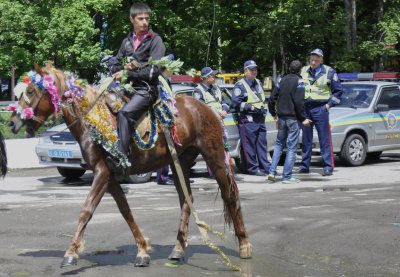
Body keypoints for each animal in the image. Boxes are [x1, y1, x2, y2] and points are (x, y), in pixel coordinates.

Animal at [7, 63, 252, 268]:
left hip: (214, 157)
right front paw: (142, 250)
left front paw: (71, 253)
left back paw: (244, 244)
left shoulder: (102, 173)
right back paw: (178, 249)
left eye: (31, 91)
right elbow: (126, 211)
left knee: (230, 194)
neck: (92, 119)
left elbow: (86, 210)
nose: (11, 122)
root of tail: (208, 108)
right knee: (186, 199)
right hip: (179, 163)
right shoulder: (110, 176)